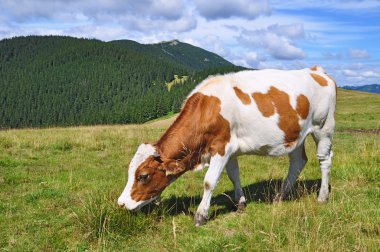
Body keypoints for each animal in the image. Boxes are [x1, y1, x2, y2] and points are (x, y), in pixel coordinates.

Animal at [118, 65, 336, 226]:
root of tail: (316, 70)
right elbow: (234, 176)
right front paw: (241, 204)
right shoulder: (231, 150)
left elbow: (209, 181)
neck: (207, 109)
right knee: (298, 162)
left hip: (323, 127)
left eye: (143, 176)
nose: (121, 204)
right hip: (297, 135)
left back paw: (322, 196)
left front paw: (200, 216)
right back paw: (280, 197)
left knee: (324, 160)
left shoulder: (222, 148)